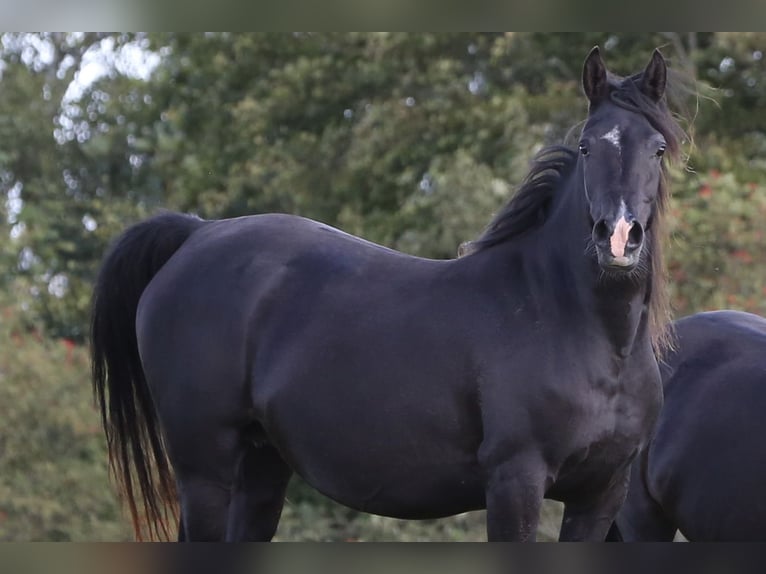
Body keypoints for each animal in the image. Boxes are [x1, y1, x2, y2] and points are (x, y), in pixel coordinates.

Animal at [93, 47, 688, 544]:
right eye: (588, 146)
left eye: (658, 149)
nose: (618, 238)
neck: (586, 333)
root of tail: (195, 233)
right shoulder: (516, 481)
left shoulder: (599, 496)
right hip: (205, 468)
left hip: (259, 468)